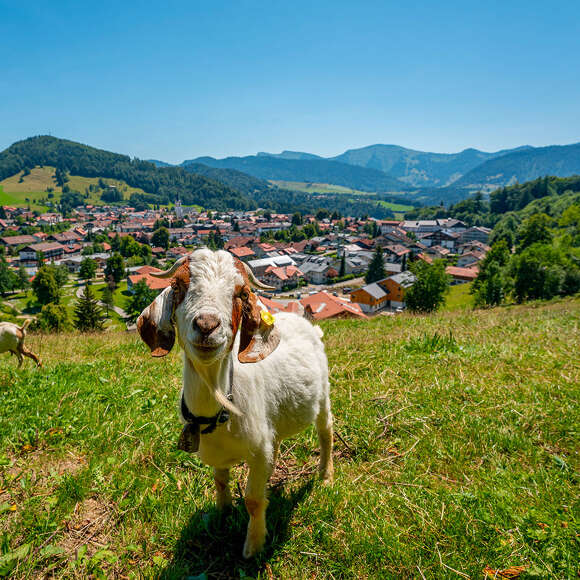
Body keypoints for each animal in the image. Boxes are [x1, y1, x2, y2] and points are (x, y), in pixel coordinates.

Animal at [137, 248, 336, 556]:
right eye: (177, 286)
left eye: (241, 293)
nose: (207, 325)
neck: (220, 406)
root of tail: (305, 323)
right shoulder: (223, 452)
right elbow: (220, 481)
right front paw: (223, 513)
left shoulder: (258, 452)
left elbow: (254, 500)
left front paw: (254, 545)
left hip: (323, 395)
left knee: (326, 431)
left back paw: (325, 476)